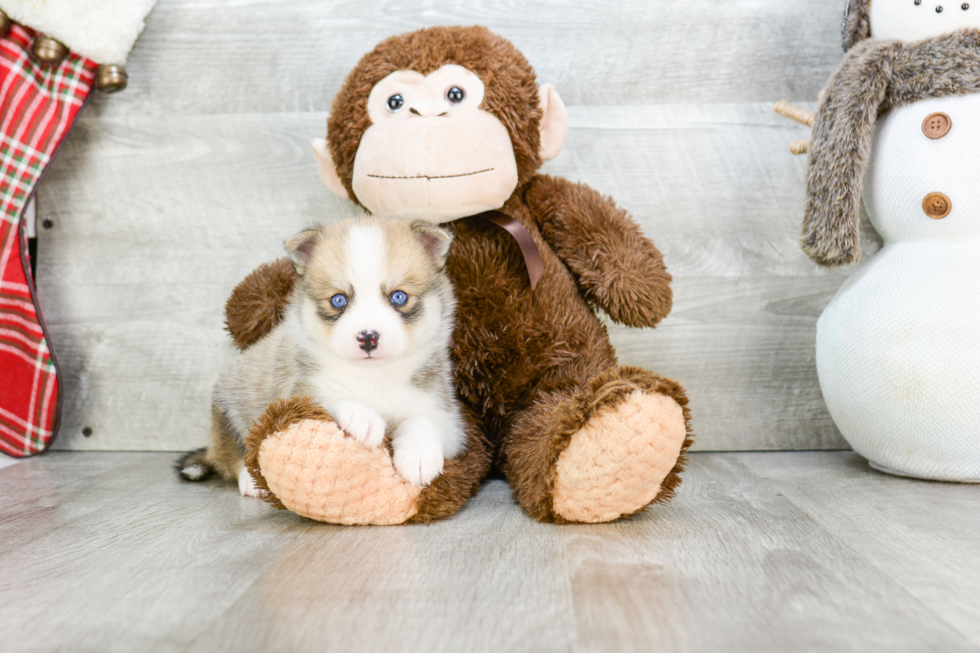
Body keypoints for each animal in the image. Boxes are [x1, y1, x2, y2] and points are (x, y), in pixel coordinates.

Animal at [177, 218, 468, 494]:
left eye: (399, 296)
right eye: (338, 300)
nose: (368, 337)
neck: (373, 375)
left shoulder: (447, 418)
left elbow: (423, 421)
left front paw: (418, 455)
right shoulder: (297, 394)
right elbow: (331, 397)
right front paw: (363, 417)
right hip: (229, 407)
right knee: (233, 454)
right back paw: (250, 480)